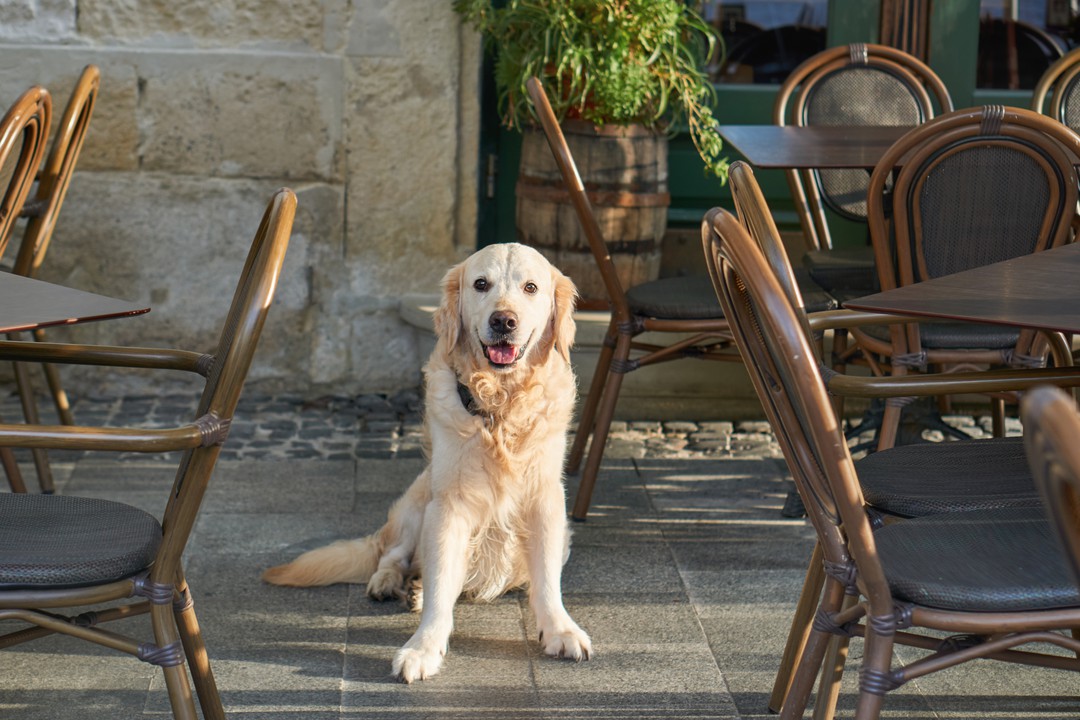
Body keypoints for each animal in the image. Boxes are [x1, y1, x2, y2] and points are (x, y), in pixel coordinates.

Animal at [264, 240, 596, 682]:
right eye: (480, 284)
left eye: (530, 287)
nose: (503, 321)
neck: (499, 407)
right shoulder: (448, 505)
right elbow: (441, 585)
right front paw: (423, 647)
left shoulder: (545, 500)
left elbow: (545, 580)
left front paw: (559, 629)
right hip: (418, 500)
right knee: (393, 553)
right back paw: (390, 583)